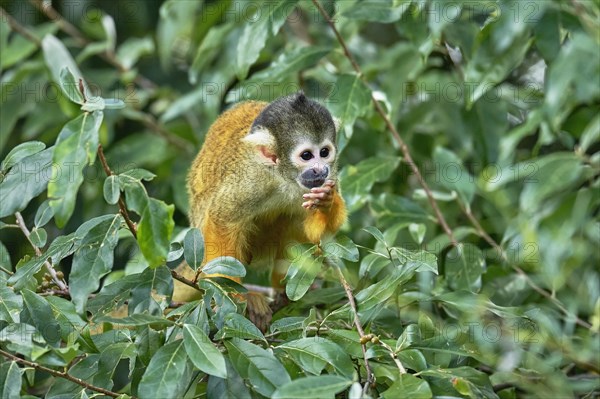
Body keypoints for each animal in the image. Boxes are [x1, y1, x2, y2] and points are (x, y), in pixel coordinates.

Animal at [173, 94, 344, 332]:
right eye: (307, 155)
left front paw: (326, 202)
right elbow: (222, 220)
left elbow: (315, 231)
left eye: (325, 152)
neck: (283, 178)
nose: (320, 170)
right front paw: (234, 297)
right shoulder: (249, 180)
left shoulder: (331, 177)